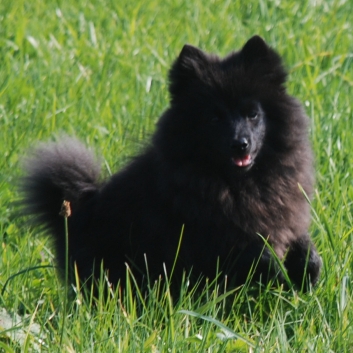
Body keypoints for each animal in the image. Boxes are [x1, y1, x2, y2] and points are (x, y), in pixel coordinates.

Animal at [20, 35, 320, 292]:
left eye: (253, 114)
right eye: (215, 118)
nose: (240, 143)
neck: (239, 183)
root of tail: (72, 214)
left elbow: (302, 243)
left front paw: (307, 267)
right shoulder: (210, 236)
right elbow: (253, 252)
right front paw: (276, 270)